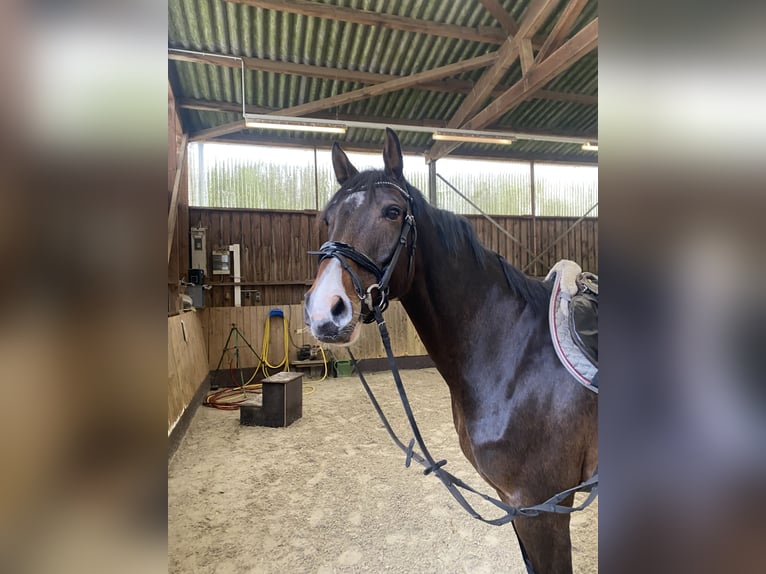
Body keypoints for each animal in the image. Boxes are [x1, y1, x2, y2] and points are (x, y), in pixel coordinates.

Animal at [303, 128, 598, 574]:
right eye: (327, 218)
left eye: (392, 212)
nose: (325, 311)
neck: (513, 358)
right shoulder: (518, 508)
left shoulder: (543, 509)